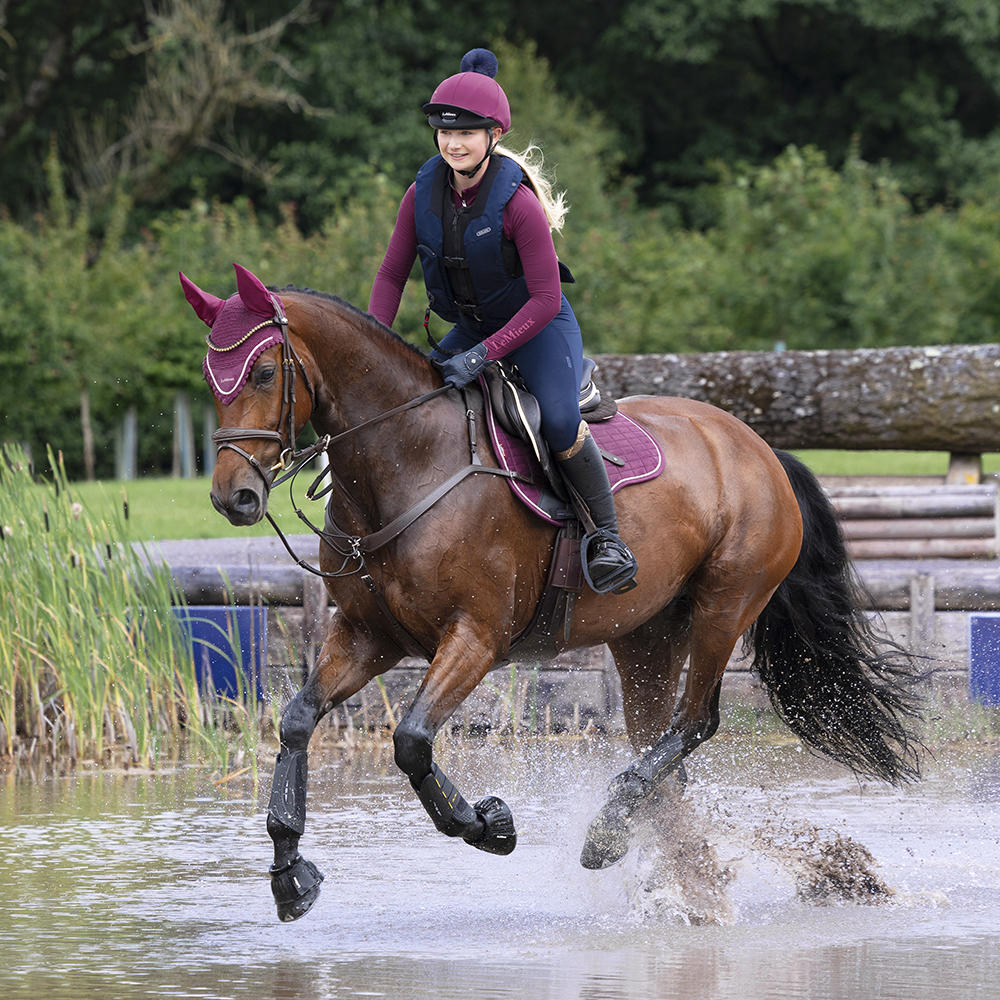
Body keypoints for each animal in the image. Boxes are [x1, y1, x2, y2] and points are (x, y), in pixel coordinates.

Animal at [181, 264, 922, 923]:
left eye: (263, 372)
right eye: (211, 381)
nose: (231, 497)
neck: (406, 461)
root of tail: (760, 447)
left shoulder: (476, 637)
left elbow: (412, 740)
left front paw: (488, 824)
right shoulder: (369, 635)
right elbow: (298, 720)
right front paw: (289, 873)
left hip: (724, 605)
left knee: (695, 722)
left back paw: (611, 833)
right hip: (645, 634)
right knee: (663, 747)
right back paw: (690, 879)